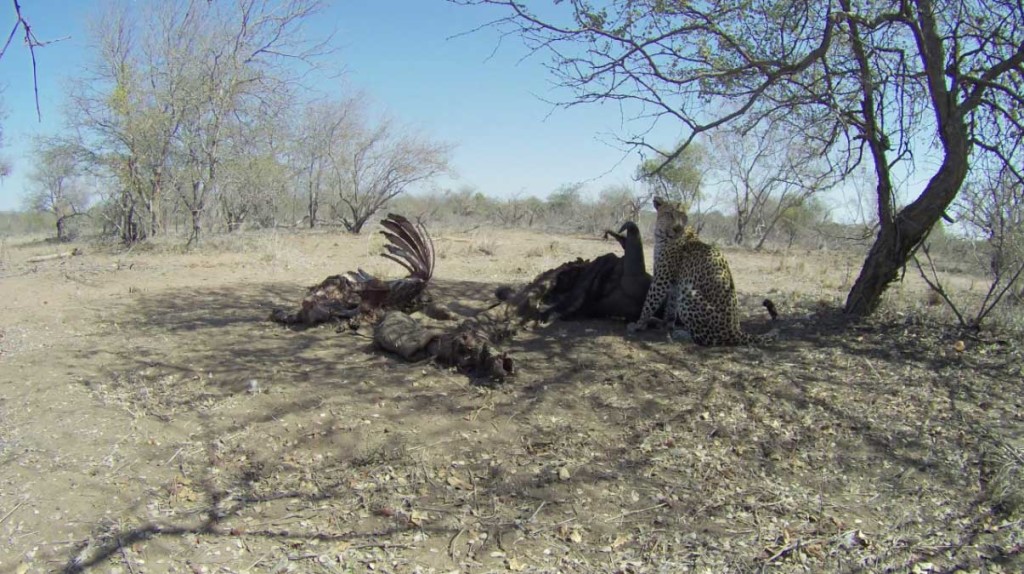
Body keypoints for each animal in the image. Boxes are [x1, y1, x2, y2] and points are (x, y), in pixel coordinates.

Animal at [622, 194, 774, 347]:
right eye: (670, 214)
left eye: (683, 216)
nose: (677, 228)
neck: (663, 235)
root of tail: (736, 331)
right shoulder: (674, 282)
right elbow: (670, 307)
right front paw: (665, 325)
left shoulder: (662, 279)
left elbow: (649, 302)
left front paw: (638, 324)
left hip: (689, 293)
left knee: (708, 339)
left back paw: (683, 335)